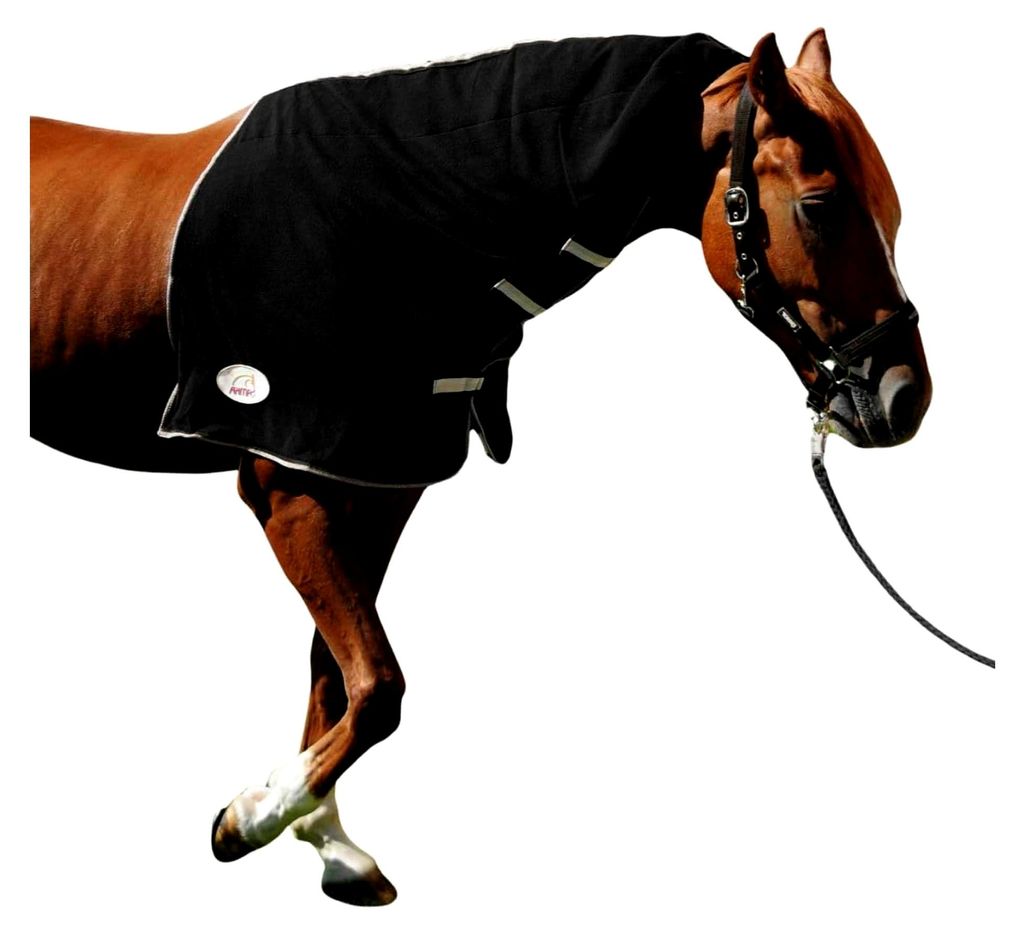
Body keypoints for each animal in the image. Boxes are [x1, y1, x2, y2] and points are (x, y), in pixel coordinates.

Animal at [29, 29, 930, 906]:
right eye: (819, 206)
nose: (904, 397)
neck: (392, 215)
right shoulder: (289, 488)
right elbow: (379, 688)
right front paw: (248, 818)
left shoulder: (372, 487)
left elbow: (335, 676)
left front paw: (325, 839)